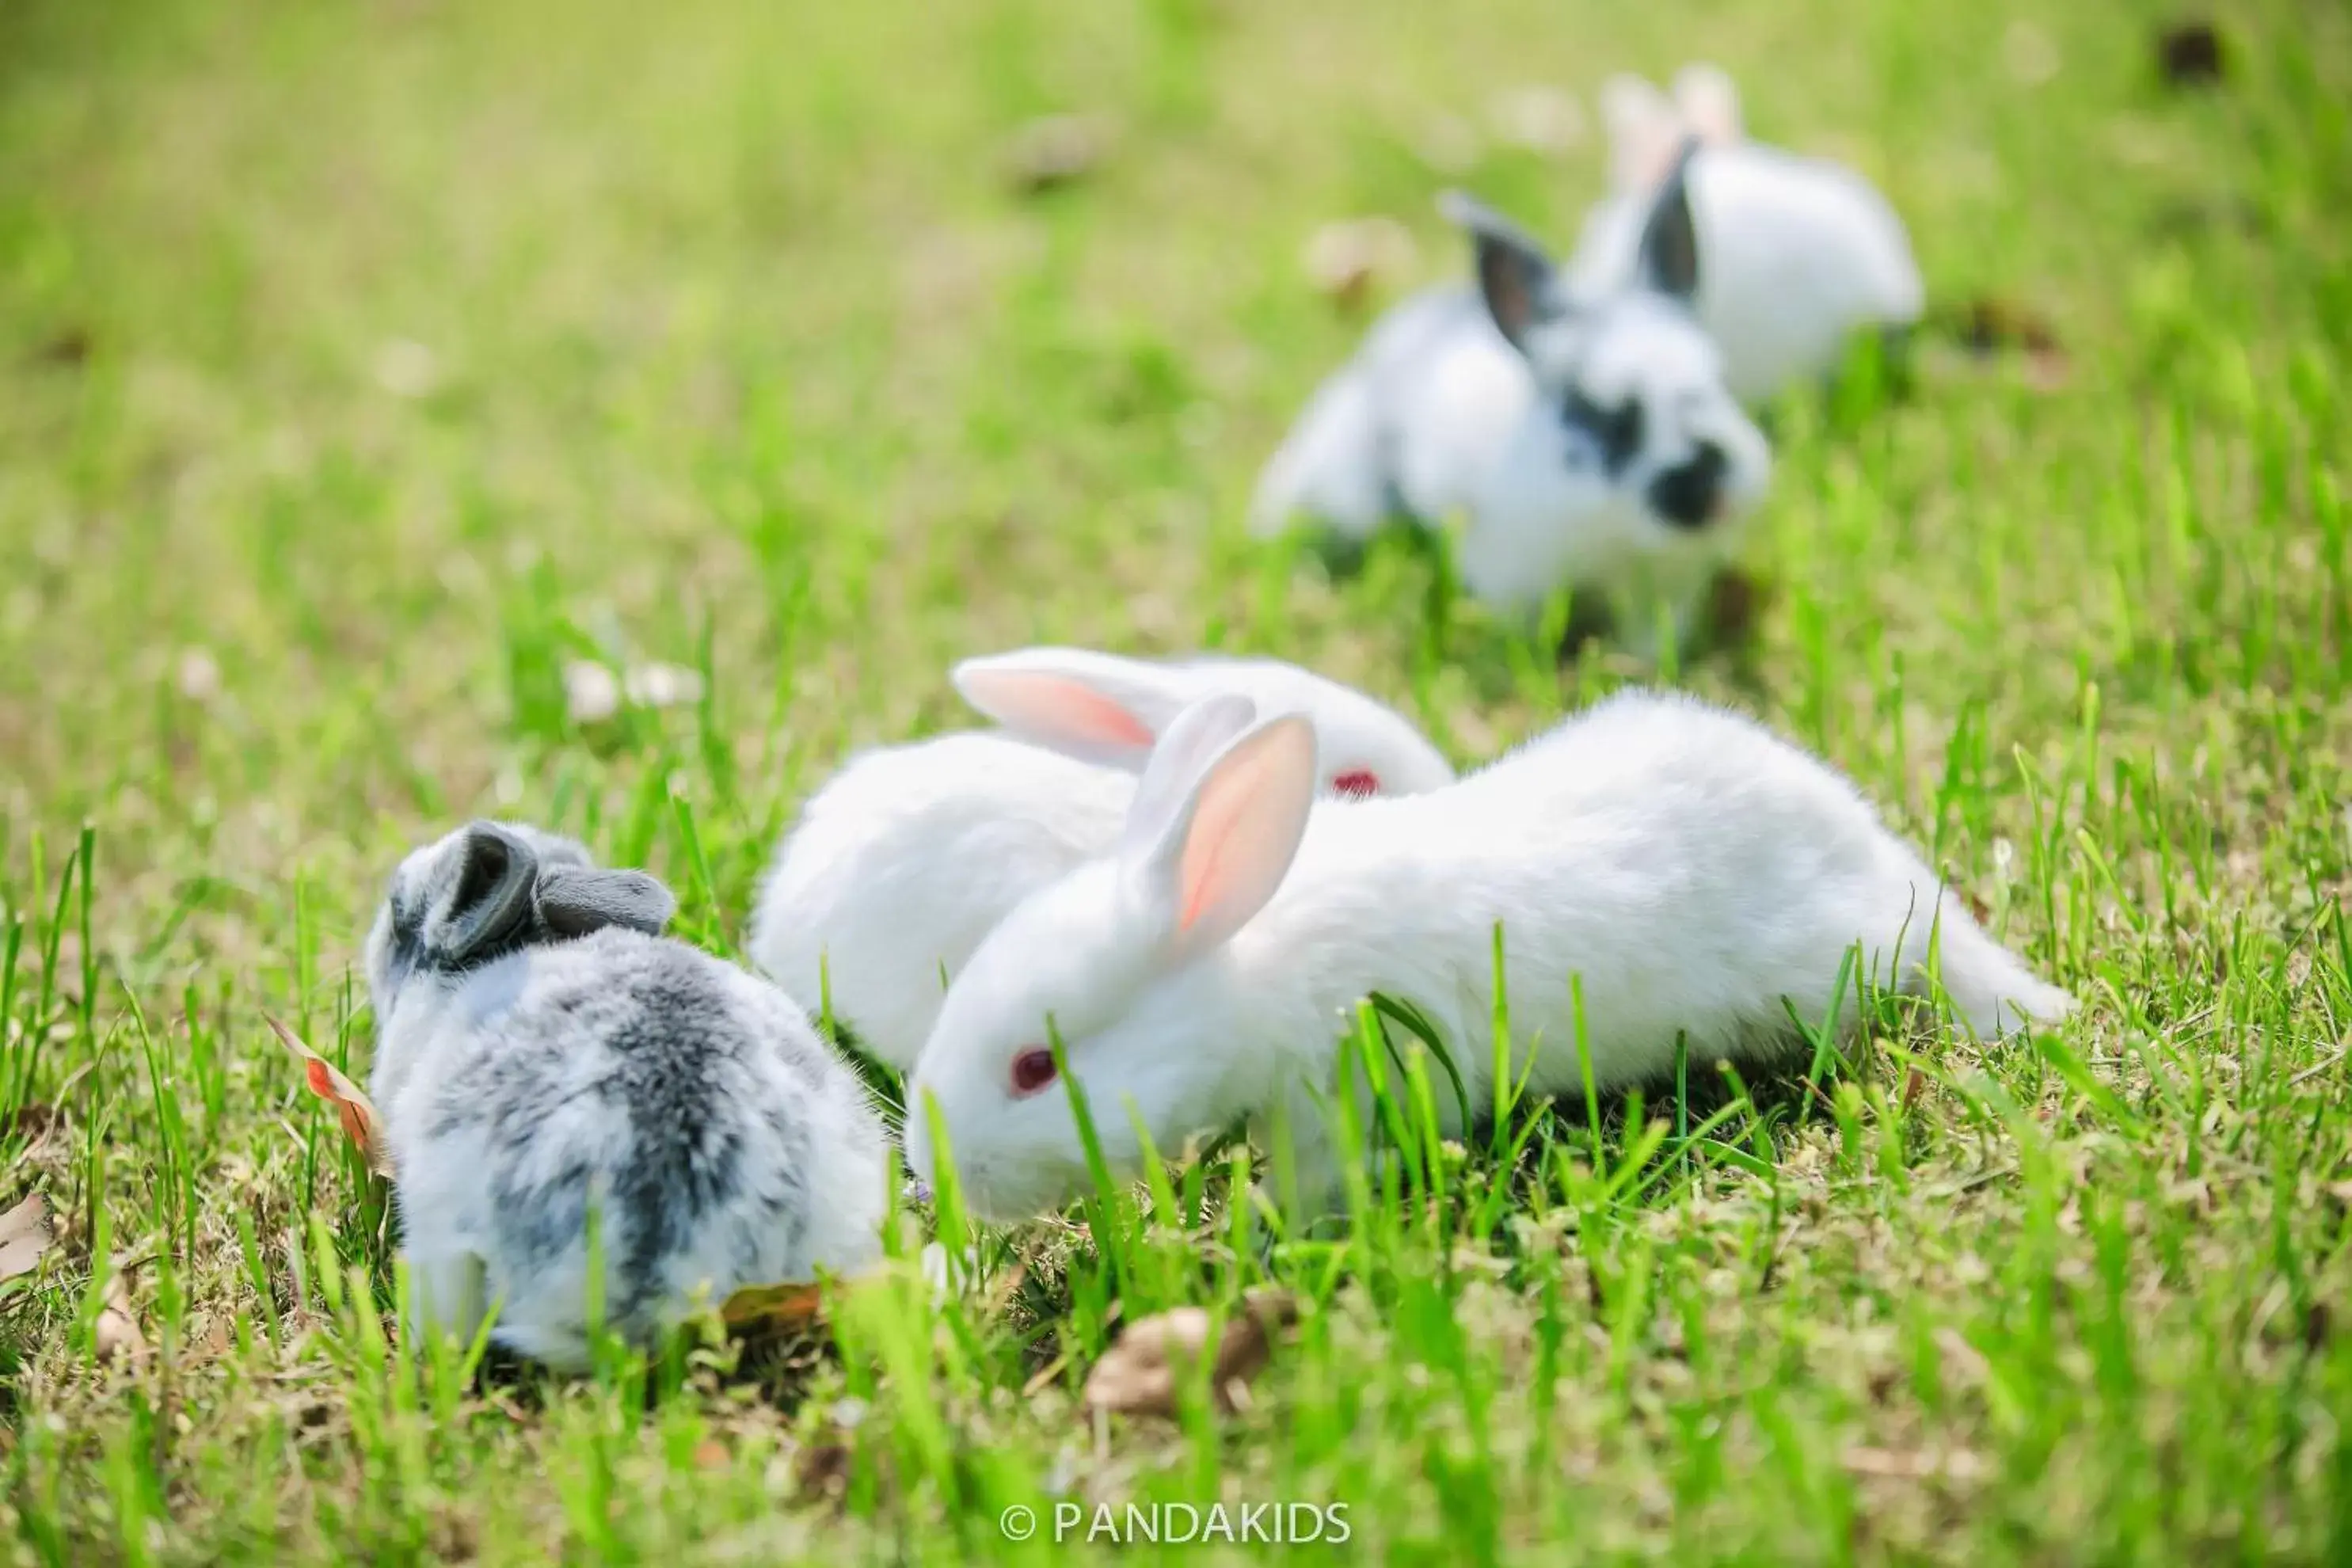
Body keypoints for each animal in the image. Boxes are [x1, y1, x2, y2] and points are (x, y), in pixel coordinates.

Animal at [1251, 164, 1768, 663]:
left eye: (1721, 382)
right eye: (1600, 415)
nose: (1710, 484)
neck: (1617, 535)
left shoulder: (1668, 591)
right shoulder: (1511, 575)